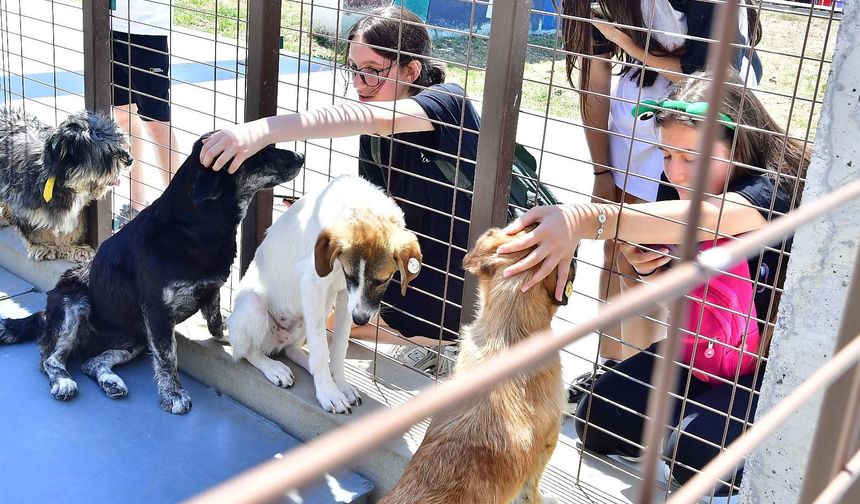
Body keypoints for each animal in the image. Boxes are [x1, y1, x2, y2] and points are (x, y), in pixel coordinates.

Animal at [0, 108, 131, 262]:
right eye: (106, 153)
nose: (130, 160)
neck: (58, 177)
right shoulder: (25, 205)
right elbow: (35, 229)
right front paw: (44, 246)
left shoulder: (77, 209)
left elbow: (75, 227)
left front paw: (73, 247)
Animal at [0, 134, 306, 414]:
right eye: (258, 152)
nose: (301, 156)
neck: (194, 228)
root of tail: (45, 315)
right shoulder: (157, 312)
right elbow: (168, 357)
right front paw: (173, 394)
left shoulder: (211, 290)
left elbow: (217, 323)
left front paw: (228, 337)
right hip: (74, 305)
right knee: (49, 360)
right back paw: (63, 381)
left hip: (133, 339)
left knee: (91, 362)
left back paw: (111, 381)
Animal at [225, 176, 420, 414]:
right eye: (350, 274)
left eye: (383, 280)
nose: (360, 320)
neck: (361, 206)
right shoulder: (313, 284)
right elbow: (320, 350)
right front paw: (329, 393)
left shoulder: (346, 296)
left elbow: (338, 348)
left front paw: (340, 384)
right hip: (255, 307)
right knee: (248, 352)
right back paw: (274, 368)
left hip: (314, 314)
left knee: (291, 350)